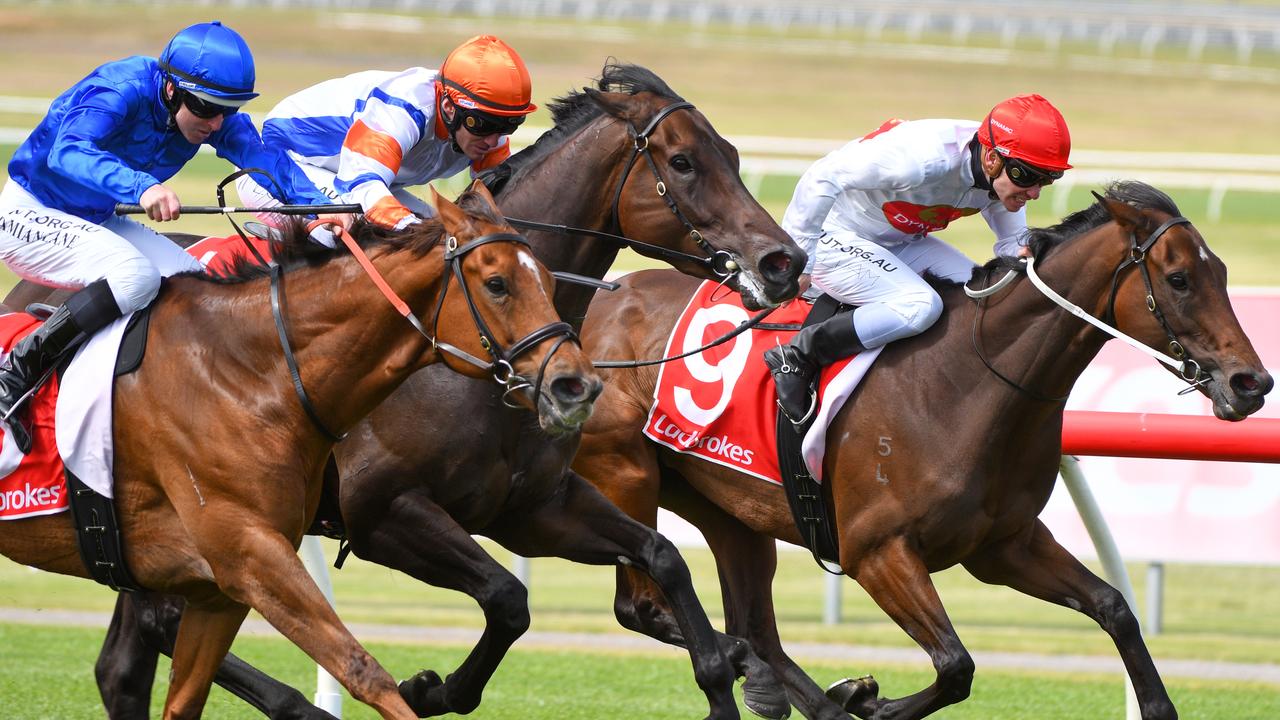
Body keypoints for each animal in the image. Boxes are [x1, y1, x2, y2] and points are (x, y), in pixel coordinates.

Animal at [0, 184, 599, 717]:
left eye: (548, 280)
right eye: (497, 284)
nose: (577, 385)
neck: (248, 372)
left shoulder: (221, 588)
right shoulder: (270, 549)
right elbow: (364, 668)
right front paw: (420, 691)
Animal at [64, 63, 803, 717]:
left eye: (733, 154)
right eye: (682, 162)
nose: (782, 261)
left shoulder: (531, 506)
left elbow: (663, 559)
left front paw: (733, 677)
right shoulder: (384, 512)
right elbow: (507, 598)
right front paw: (429, 689)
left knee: (129, 650)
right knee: (160, 626)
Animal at [568, 180, 1269, 717]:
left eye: (1222, 273)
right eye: (1178, 279)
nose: (1252, 383)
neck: (970, 380)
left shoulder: (1003, 544)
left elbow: (1114, 607)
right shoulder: (877, 551)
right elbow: (956, 664)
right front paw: (870, 702)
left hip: (727, 507)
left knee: (756, 629)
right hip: (627, 475)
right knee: (645, 606)